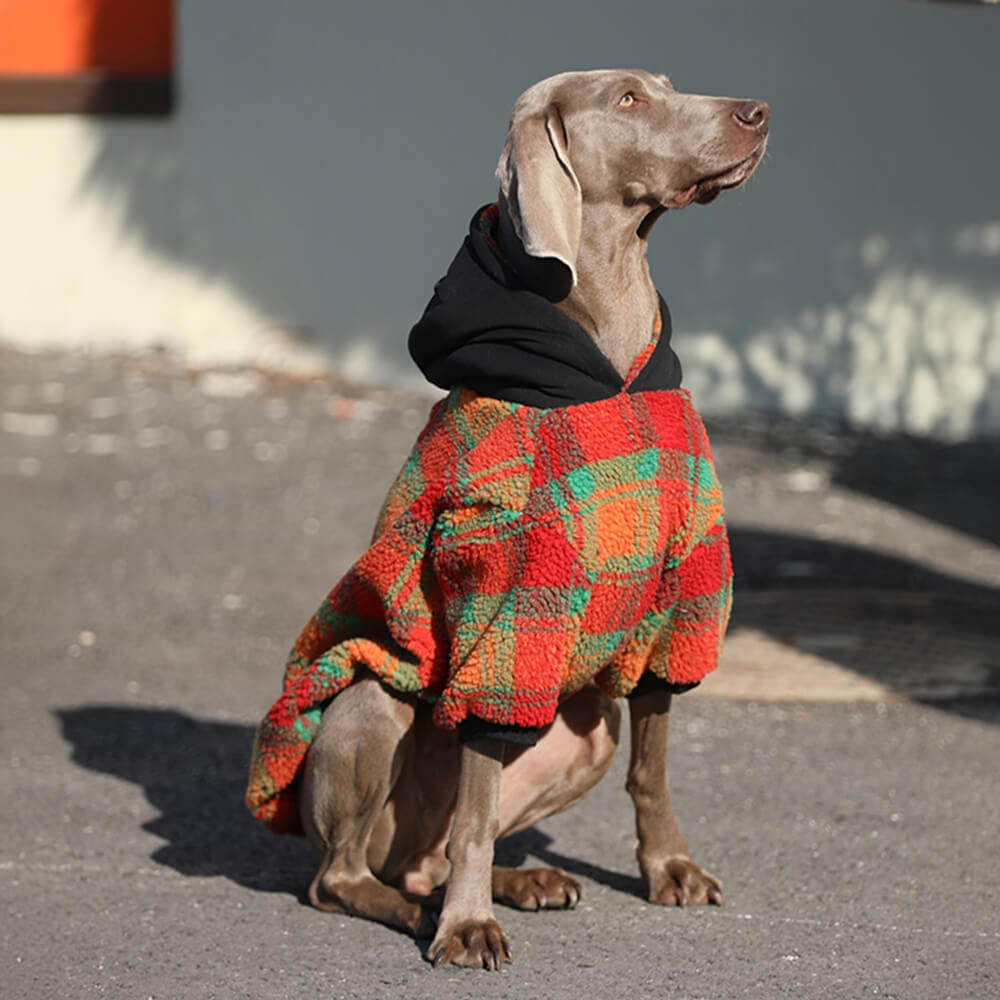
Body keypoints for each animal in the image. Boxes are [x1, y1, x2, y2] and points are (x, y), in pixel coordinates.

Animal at [246, 68, 768, 968]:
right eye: (628, 99)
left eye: (665, 85)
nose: (757, 113)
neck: (605, 363)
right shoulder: (508, 606)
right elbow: (479, 803)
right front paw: (466, 926)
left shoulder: (681, 591)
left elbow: (653, 764)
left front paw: (670, 868)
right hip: (372, 705)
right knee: (344, 876)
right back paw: (425, 908)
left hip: (587, 728)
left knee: (433, 851)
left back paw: (521, 882)